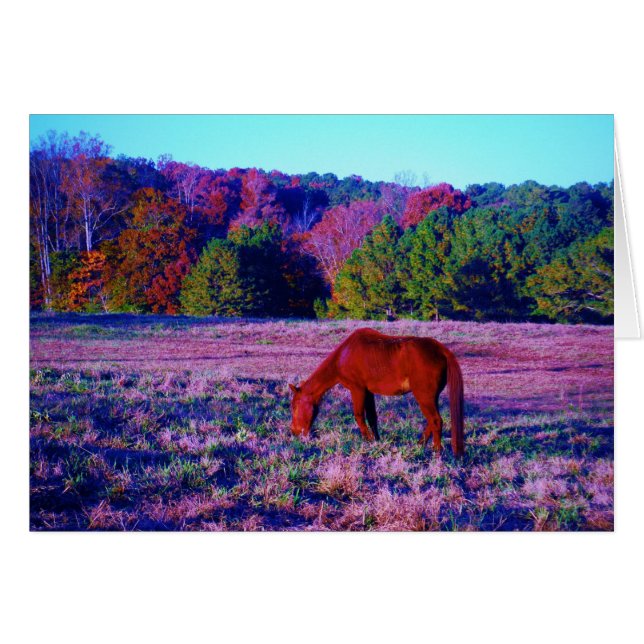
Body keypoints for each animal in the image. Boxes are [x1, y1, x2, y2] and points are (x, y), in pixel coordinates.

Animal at [289, 328, 465, 456]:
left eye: (295, 406)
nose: (294, 431)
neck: (344, 354)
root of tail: (441, 350)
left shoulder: (357, 389)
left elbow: (359, 415)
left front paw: (367, 440)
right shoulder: (368, 392)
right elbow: (372, 417)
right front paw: (376, 440)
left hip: (424, 396)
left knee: (436, 421)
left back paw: (436, 451)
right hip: (431, 397)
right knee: (432, 421)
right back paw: (420, 444)